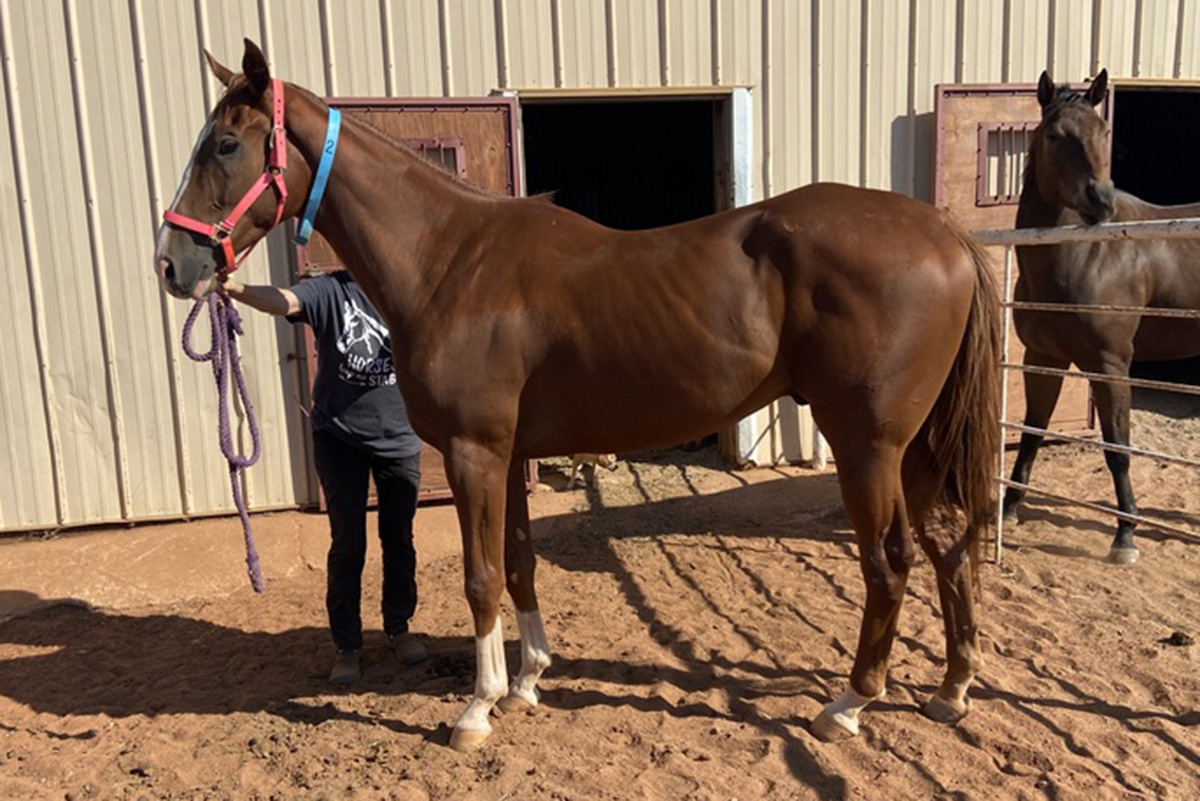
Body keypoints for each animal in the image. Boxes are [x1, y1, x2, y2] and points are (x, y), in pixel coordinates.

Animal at [159, 38, 1003, 753]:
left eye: (225, 144)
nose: (173, 263)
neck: (450, 261)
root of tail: (945, 234)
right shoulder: (509, 455)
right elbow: (520, 561)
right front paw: (528, 679)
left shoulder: (472, 452)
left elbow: (480, 575)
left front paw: (477, 708)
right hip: (916, 446)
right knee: (947, 543)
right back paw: (952, 689)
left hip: (868, 445)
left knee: (890, 561)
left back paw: (849, 703)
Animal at [998, 71, 1200, 565]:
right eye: (1054, 135)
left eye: (1104, 132)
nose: (1101, 201)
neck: (1086, 255)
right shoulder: (1043, 359)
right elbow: (1031, 432)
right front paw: (1010, 508)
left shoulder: (1110, 366)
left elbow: (1118, 448)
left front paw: (1125, 535)